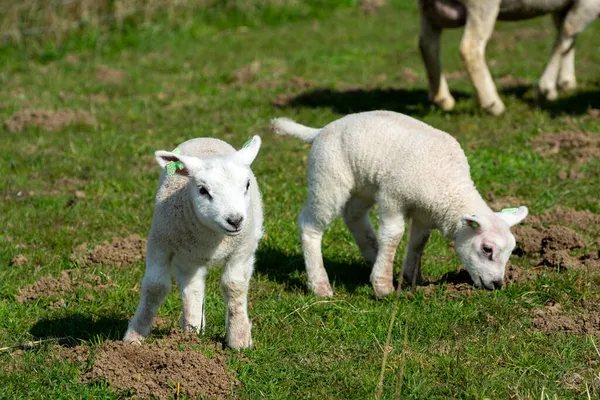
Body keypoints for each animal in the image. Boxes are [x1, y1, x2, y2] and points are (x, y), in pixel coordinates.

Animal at [122, 136, 262, 348]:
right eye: (203, 190)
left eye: (246, 185)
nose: (235, 220)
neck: (212, 238)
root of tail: (206, 138)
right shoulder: (159, 243)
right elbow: (155, 287)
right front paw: (135, 335)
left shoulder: (242, 249)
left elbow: (234, 286)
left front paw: (239, 338)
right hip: (187, 255)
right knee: (192, 287)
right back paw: (191, 330)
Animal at [274, 111, 528, 298]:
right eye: (487, 249)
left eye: (511, 251)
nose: (497, 284)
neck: (449, 186)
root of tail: (322, 130)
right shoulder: (392, 197)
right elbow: (394, 234)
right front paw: (383, 286)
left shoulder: (425, 214)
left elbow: (418, 243)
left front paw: (413, 279)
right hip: (327, 178)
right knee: (310, 226)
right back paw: (320, 286)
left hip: (362, 185)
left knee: (353, 215)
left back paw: (372, 254)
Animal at [420, 0, 596, 115]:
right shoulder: (589, 4)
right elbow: (566, 37)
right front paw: (546, 89)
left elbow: (567, 39)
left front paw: (566, 81)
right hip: (481, 5)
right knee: (469, 48)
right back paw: (492, 104)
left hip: (429, 9)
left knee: (427, 45)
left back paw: (442, 98)